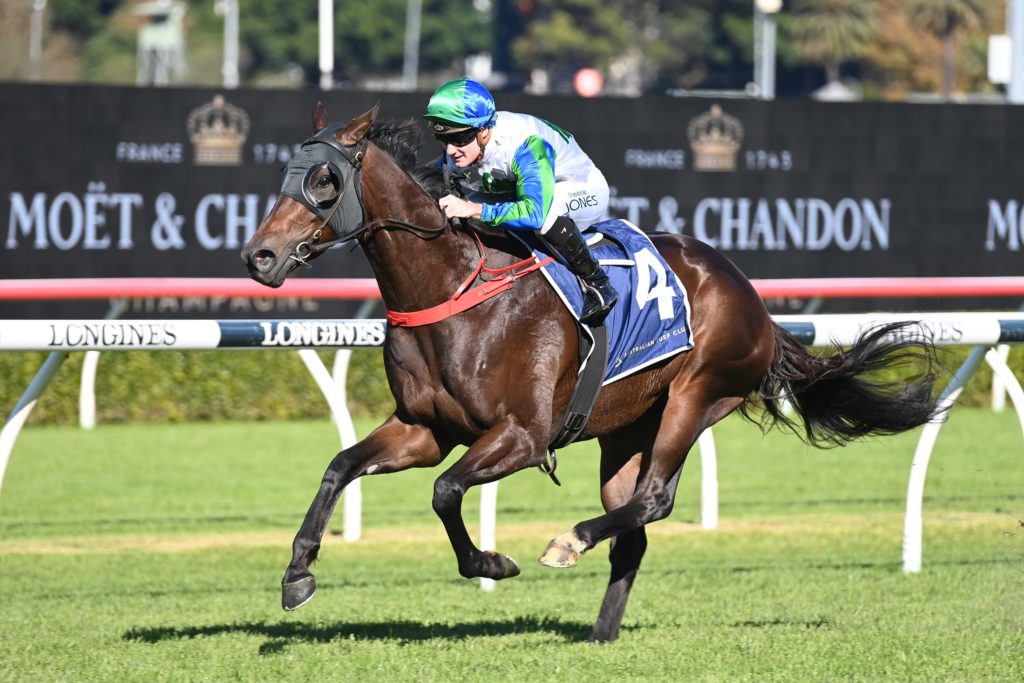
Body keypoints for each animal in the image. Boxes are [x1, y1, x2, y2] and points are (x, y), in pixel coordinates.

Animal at [241, 102, 940, 643]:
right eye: (286, 174)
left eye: (326, 180)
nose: (259, 256)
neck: (453, 289)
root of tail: (753, 299)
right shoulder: (424, 429)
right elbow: (340, 467)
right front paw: (298, 574)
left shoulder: (524, 435)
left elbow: (445, 491)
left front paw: (492, 562)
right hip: (626, 429)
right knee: (632, 524)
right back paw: (600, 632)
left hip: (696, 395)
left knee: (653, 499)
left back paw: (569, 542)